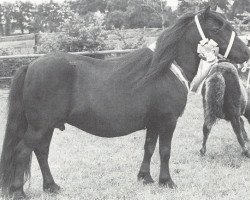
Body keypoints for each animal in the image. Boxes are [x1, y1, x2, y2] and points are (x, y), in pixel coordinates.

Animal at [0, 7, 250, 199]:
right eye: (217, 28)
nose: (246, 53)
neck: (166, 69)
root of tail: (31, 65)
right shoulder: (168, 121)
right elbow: (165, 151)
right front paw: (167, 181)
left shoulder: (154, 123)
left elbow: (149, 148)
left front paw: (145, 178)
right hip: (40, 126)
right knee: (23, 151)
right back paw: (18, 191)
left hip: (47, 126)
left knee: (41, 152)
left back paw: (52, 186)